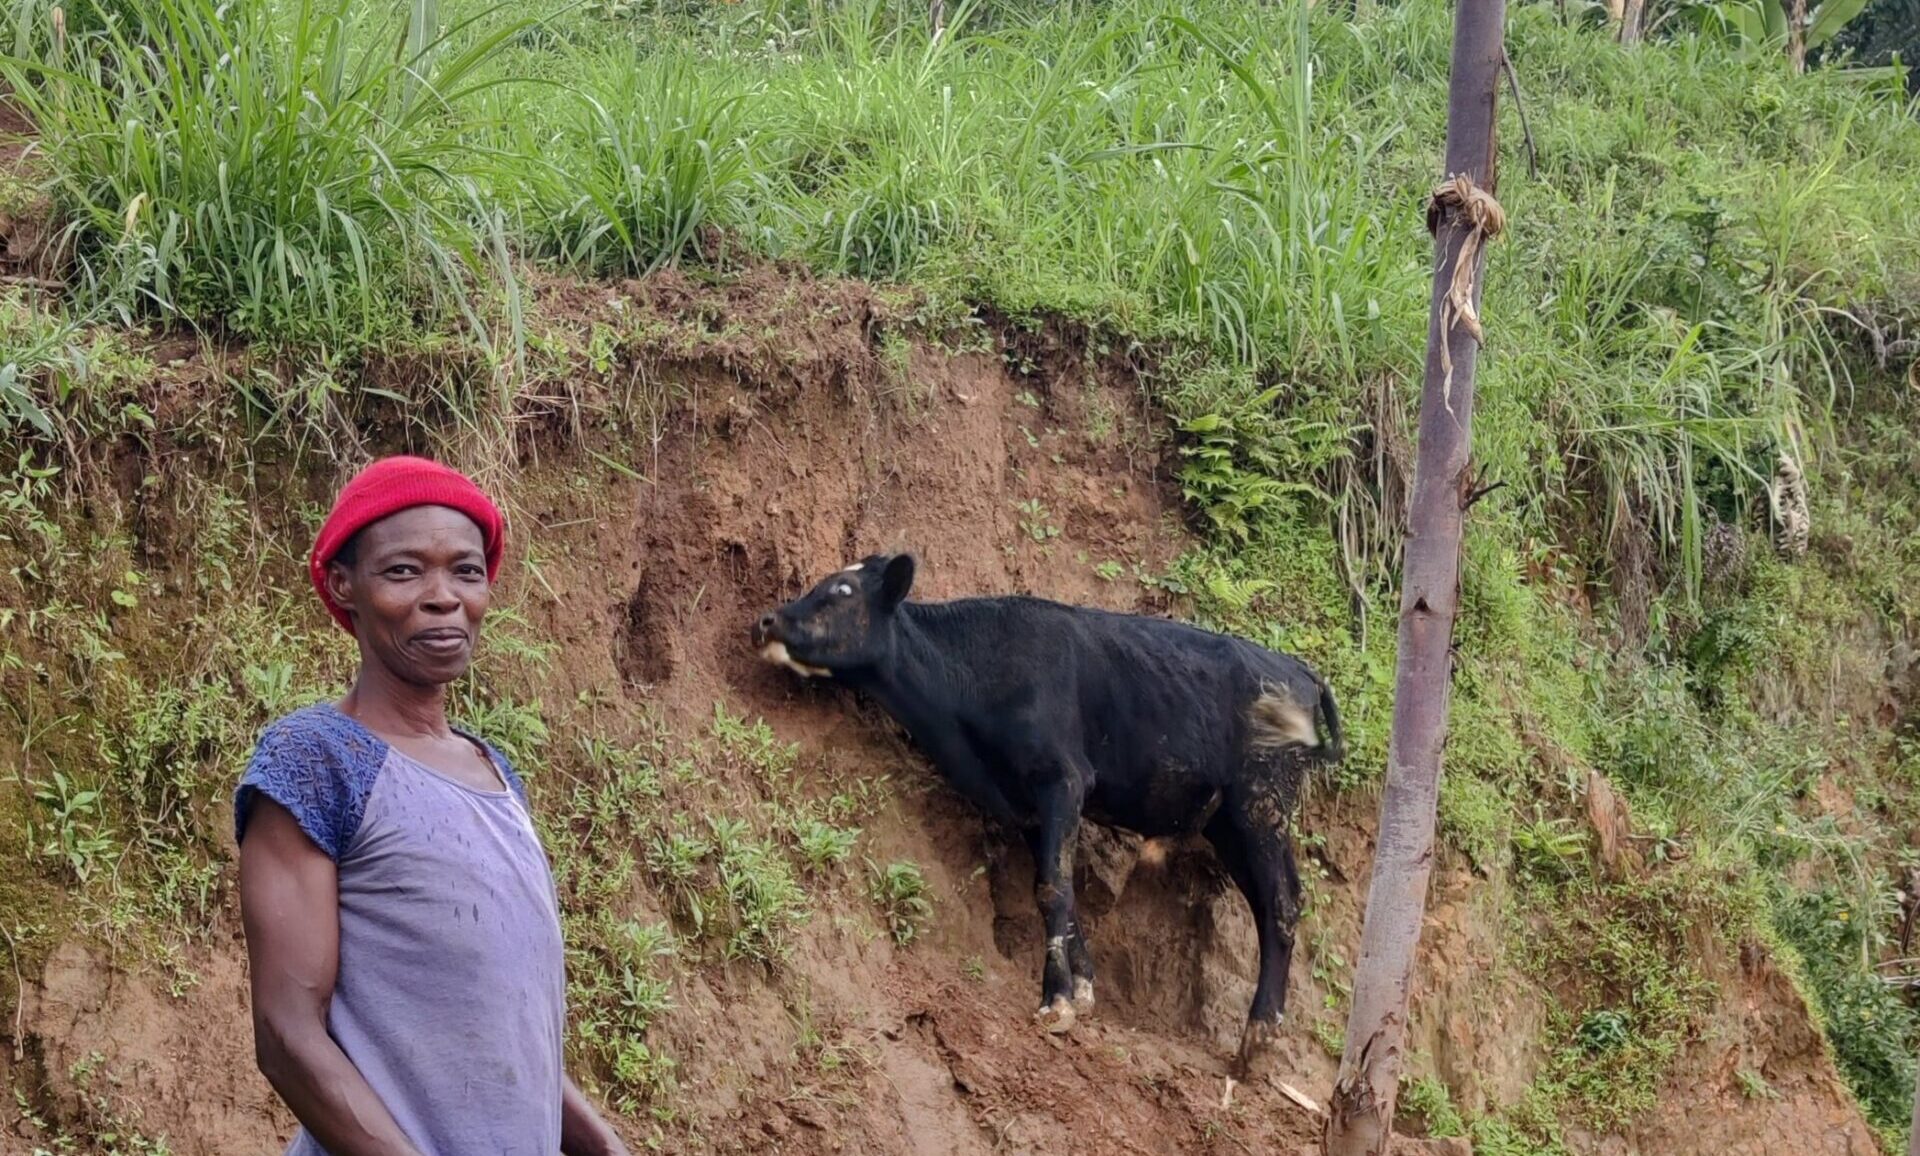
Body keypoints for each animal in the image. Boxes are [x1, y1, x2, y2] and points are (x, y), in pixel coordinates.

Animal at [741, 553, 1344, 1067]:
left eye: (840, 591)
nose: (767, 620)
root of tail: (1299, 669)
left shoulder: (1064, 777)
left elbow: (1051, 887)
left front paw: (1055, 1002)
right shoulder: (1026, 805)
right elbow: (1060, 888)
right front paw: (1082, 990)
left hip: (1260, 802)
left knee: (1281, 902)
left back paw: (1260, 1034)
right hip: (1226, 820)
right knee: (1273, 902)